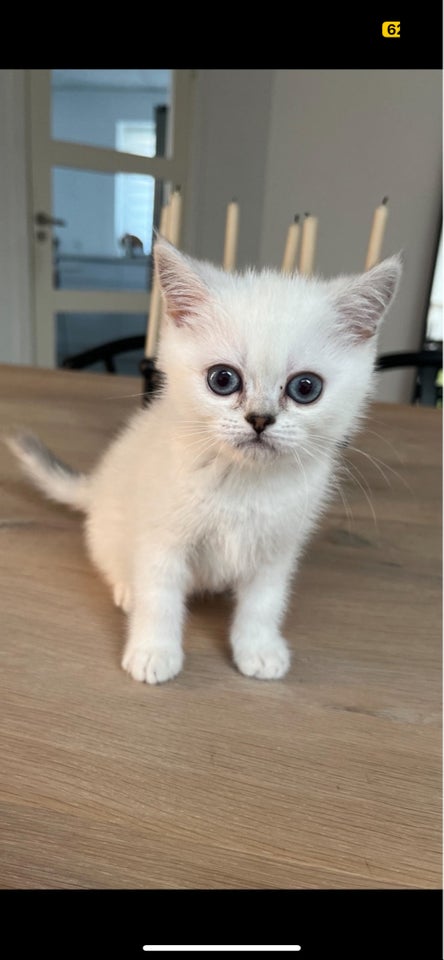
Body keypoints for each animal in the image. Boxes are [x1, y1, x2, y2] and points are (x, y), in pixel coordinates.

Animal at [6, 240, 402, 684]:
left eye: (306, 388)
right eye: (223, 380)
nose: (260, 419)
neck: (242, 482)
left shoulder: (277, 549)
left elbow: (264, 603)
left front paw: (258, 649)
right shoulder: (161, 538)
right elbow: (159, 598)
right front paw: (154, 651)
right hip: (110, 528)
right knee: (111, 559)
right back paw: (126, 589)